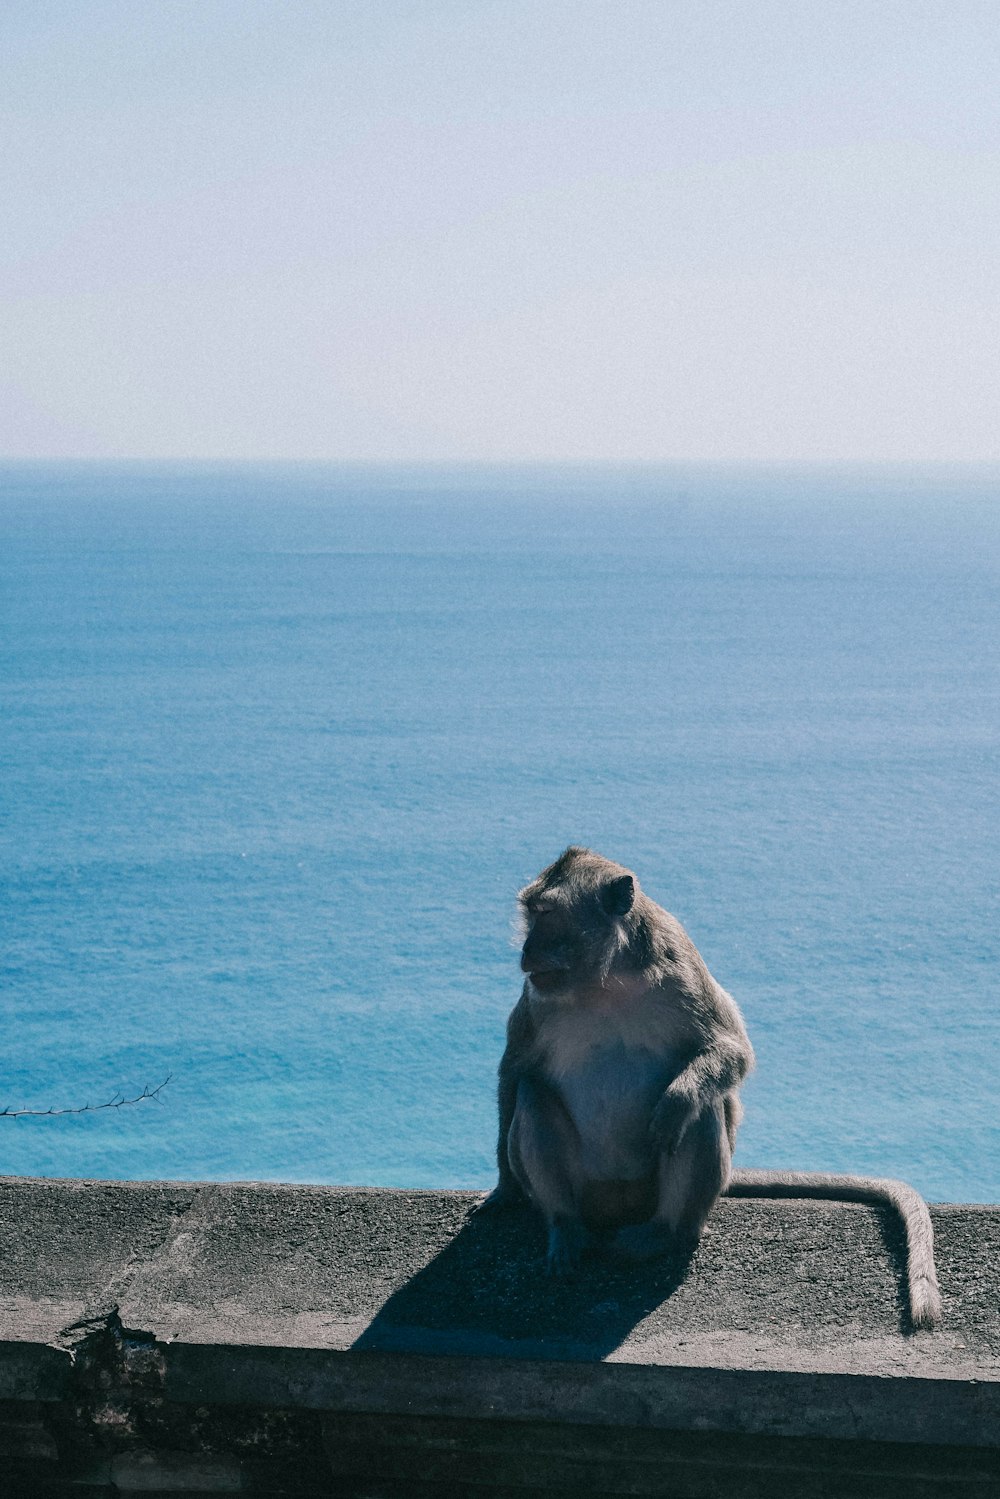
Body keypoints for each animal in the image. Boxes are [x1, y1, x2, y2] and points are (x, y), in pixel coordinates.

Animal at [479, 851, 941, 1331]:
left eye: (547, 913)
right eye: (532, 913)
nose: (526, 950)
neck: (606, 980)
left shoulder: (680, 966)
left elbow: (730, 1050)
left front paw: (678, 1099)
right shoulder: (536, 999)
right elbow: (516, 1071)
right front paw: (506, 1187)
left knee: (700, 1111)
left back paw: (662, 1232)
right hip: (590, 1191)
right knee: (533, 1095)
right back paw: (566, 1228)